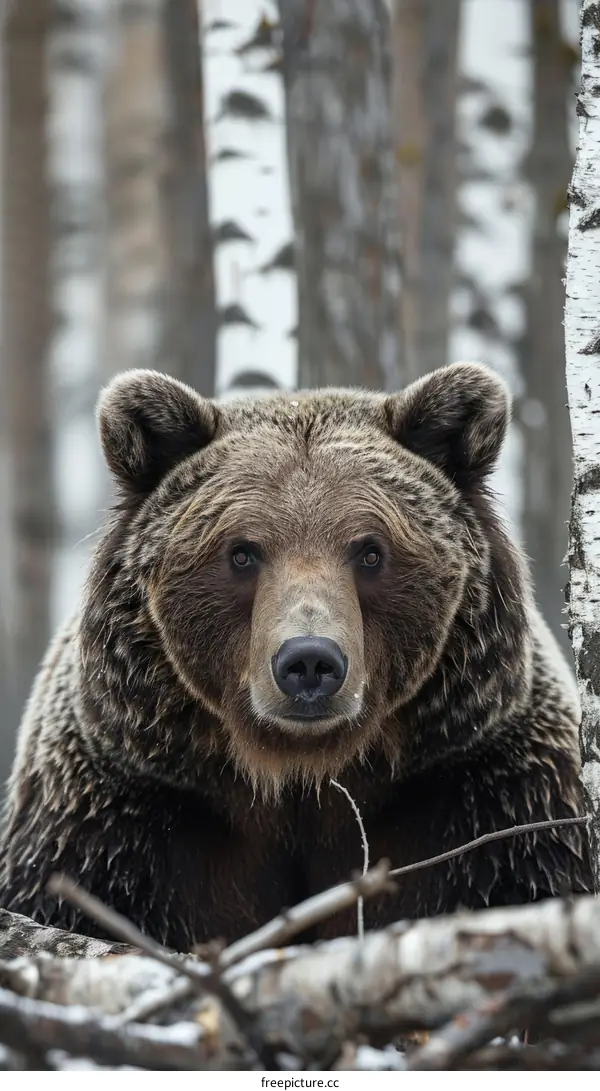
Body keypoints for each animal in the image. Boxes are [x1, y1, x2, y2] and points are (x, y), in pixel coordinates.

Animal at [0, 362, 592, 951]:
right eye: (241, 552)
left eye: (370, 551)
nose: (309, 661)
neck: (298, 776)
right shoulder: (120, 818)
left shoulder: (486, 796)